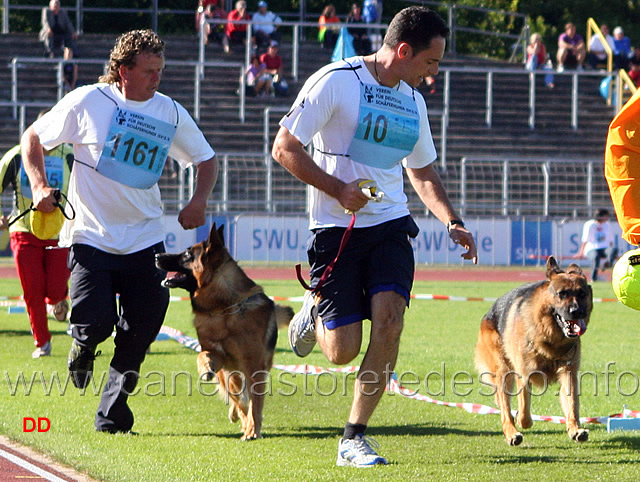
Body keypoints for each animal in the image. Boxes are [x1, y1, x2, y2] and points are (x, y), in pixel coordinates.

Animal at [155, 224, 296, 438]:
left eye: (187, 254)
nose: (156, 255)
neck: (222, 309)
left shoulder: (254, 366)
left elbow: (255, 404)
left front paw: (253, 430)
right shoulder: (220, 358)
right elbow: (203, 356)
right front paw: (205, 368)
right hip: (230, 374)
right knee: (238, 397)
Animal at [476, 258, 592, 446]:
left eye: (582, 294)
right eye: (562, 294)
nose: (577, 311)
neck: (550, 339)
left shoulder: (568, 374)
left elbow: (572, 406)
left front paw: (575, 429)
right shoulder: (524, 374)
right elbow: (523, 409)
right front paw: (522, 420)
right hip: (503, 372)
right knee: (505, 409)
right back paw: (512, 433)